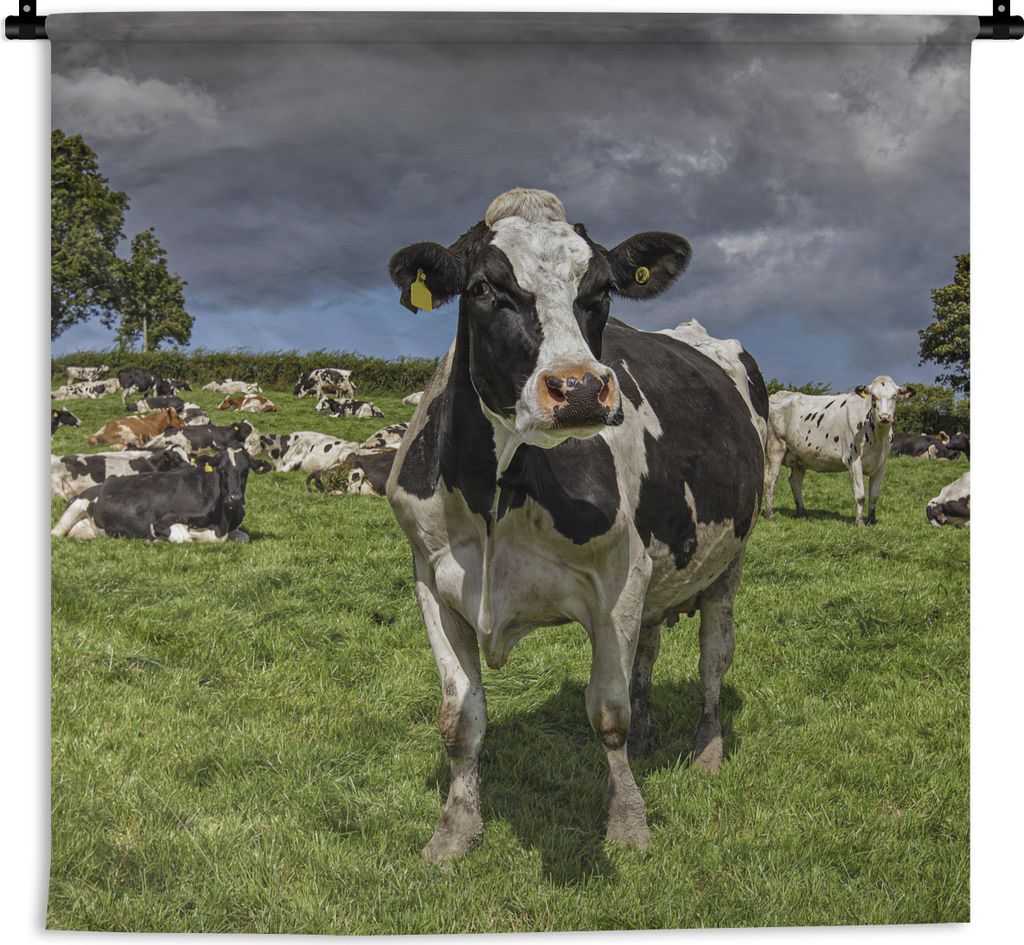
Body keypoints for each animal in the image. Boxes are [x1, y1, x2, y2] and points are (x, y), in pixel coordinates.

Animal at [384, 187, 767, 861]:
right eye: (483, 288)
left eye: (603, 290)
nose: (582, 389)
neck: (495, 494)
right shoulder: (433, 579)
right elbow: (460, 718)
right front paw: (454, 831)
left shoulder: (618, 578)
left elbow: (606, 714)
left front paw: (628, 822)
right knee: (648, 650)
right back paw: (647, 739)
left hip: (729, 564)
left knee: (713, 659)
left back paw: (708, 749)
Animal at [763, 377, 914, 527]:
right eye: (873, 396)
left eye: (894, 396)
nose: (884, 417)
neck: (878, 437)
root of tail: (777, 394)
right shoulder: (853, 460)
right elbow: (860, 495)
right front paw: (859, 523)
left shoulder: (881, 464)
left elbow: (874, 496)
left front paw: (871, 521)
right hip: (775, 446)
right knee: (770, 479)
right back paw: (769, 514)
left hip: (800, 456)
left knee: (795, 481)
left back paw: (802, 513)